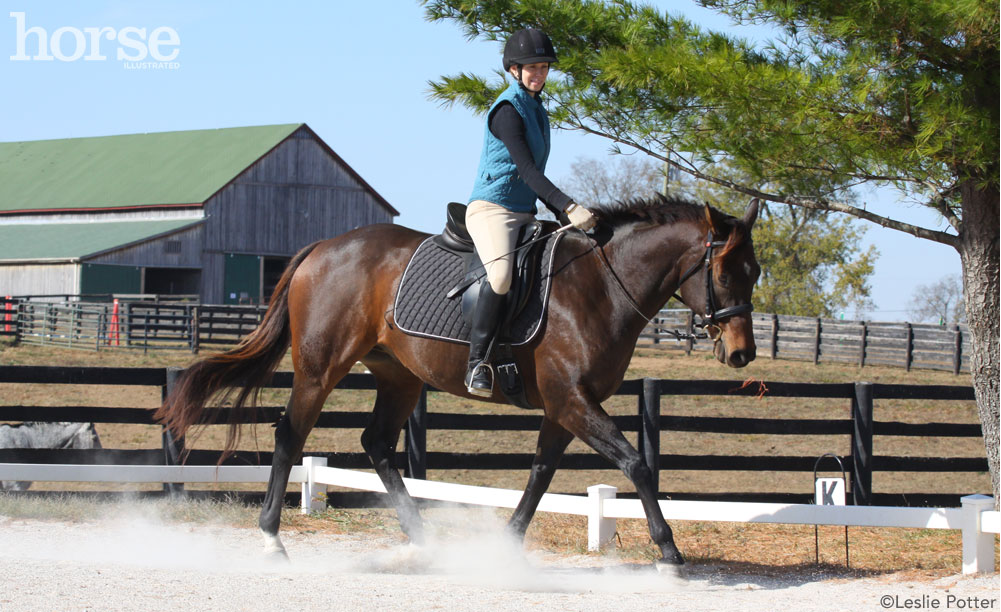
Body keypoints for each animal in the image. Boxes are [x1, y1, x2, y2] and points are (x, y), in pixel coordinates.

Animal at [156, 195, 756, 568]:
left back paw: (424, 539)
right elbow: (636, 464)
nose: (742, 354)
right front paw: (669, 552)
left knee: (377, 443)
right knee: (290, 437)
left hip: (399, 377)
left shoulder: (564, 408)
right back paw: (271, 540)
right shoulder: (573, 401)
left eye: (754, 273)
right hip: (319, 370)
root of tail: (323, 247)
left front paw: (507, 545)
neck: (600, 284)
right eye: (726, 274)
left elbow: (540, 474)